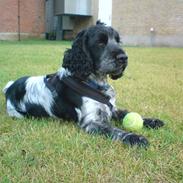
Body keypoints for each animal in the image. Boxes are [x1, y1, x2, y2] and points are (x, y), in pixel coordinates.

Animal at [2, 21, 164, 147]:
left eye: (118, 41)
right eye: (100, 42)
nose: (123, 58)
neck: (94, 83)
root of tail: (10, 87)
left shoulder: (111, 108)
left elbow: (126, 113)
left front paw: (152, 121)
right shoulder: (92, 122)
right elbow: (115, 130)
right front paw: (135, 137)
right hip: (17, 114)